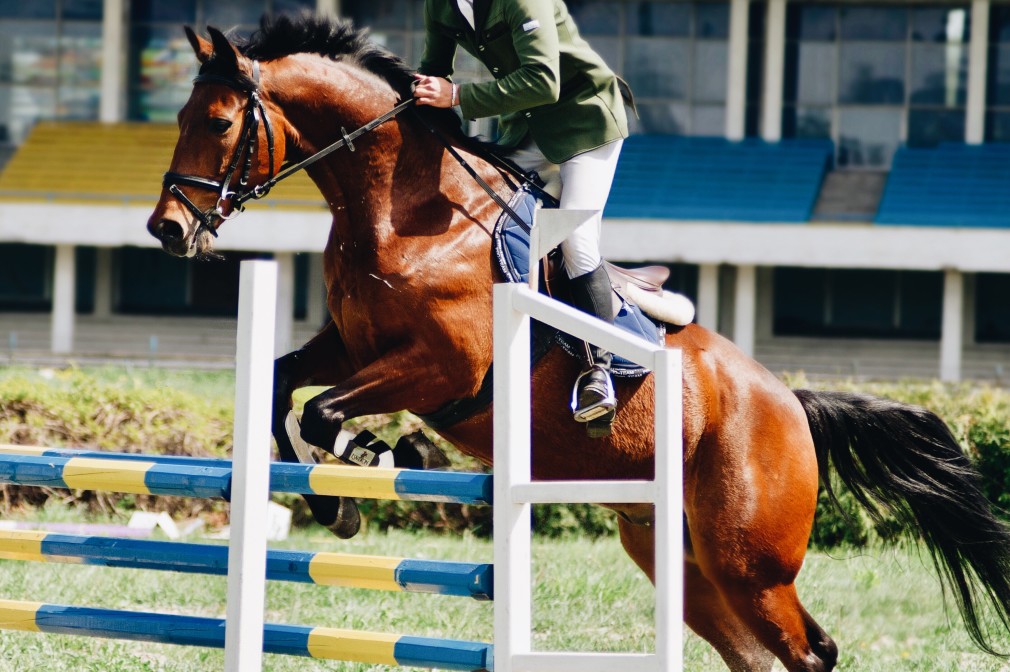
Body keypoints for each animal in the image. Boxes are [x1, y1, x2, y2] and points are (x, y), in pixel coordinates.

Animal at [144, 15, 1010, 670]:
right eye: (178, 120)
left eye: (218, 122)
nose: (167, 229)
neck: (402, 209)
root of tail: (791, 403)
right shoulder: (352, 347)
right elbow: (284, 387)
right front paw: (341, 495)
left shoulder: (442, 368)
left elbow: (323, 412)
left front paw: (387, 459)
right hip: (681, 559)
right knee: (755, 655)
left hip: (750, 561)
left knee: (809, 652)